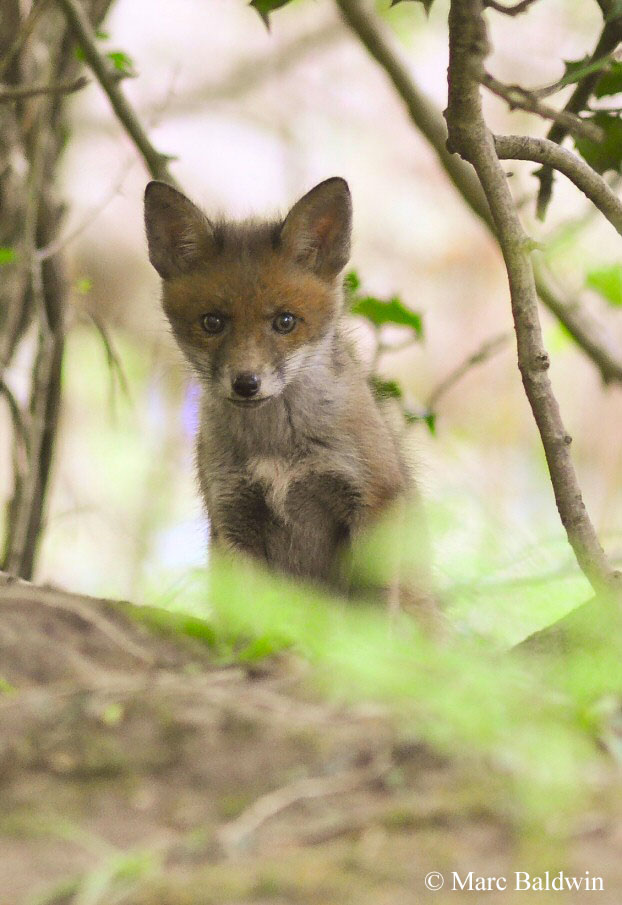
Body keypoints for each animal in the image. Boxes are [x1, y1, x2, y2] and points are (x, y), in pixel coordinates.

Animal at [146, 178, 416, 592]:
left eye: (285, 322)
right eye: (212, 322)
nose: (246, 384)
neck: (277, 449)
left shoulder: (373, 501)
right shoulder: (232, 518)